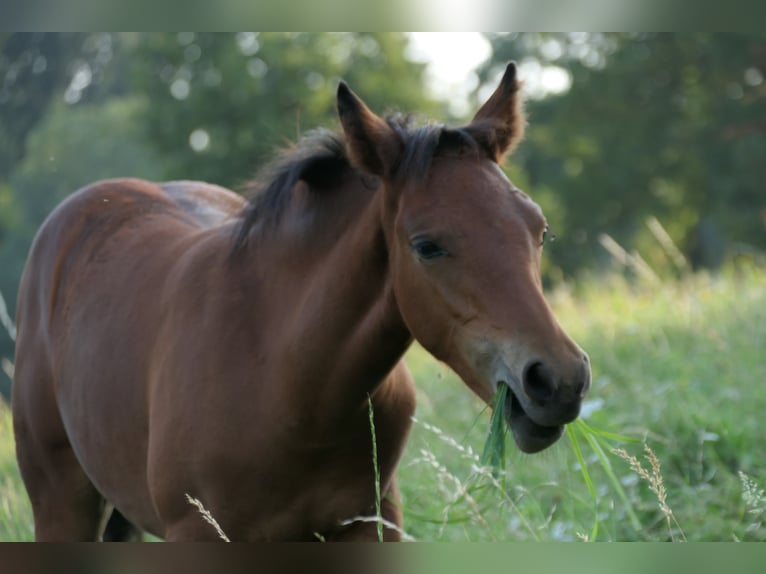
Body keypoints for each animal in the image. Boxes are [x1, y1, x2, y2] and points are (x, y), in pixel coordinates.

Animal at [12, 63, 591, 541]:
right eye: (427, 245)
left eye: (539, 230)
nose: (559, 380)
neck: (288, 384)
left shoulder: (370, 525)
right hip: (61, 502)